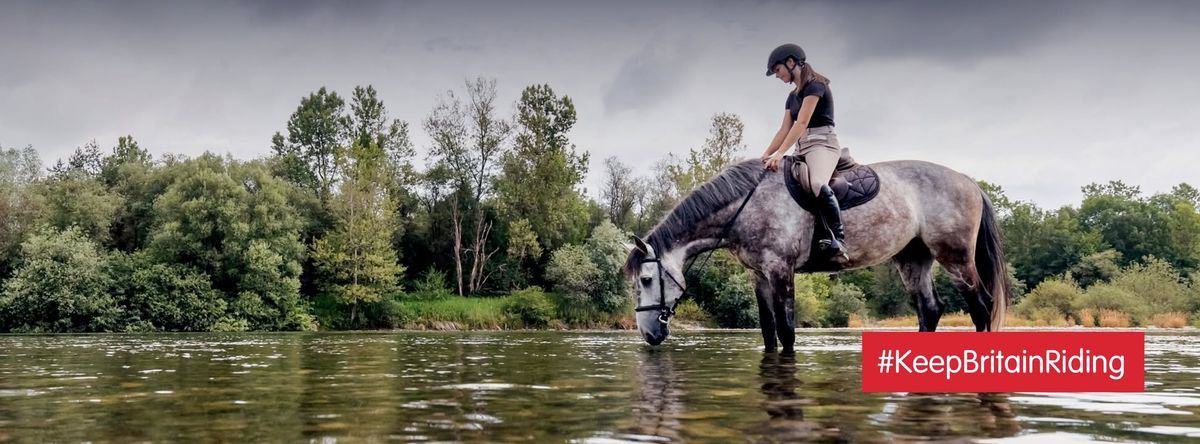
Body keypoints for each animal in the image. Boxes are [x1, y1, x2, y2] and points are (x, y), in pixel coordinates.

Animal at [624, 158, 1008, 352]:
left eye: (646, 279)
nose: (648, 334)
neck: (747, 205)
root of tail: (968, 181)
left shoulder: (781, 271)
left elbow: (787, 330)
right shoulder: (758, 276)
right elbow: (768, 331)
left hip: (955, 257)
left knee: (980, 306)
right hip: (913, 259)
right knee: (929, 309)